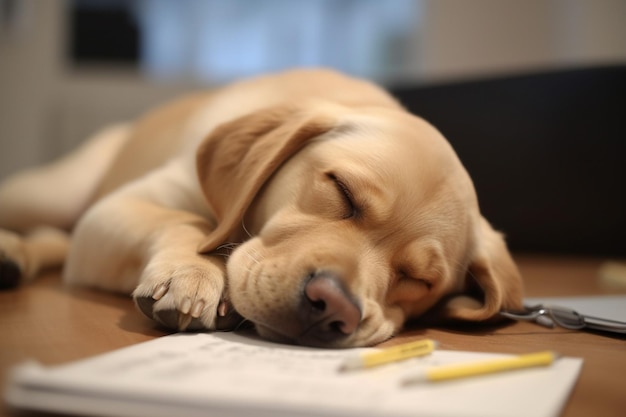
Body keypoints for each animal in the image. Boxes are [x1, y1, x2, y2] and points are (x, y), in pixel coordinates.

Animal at [0, 69, 520, 348]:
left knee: (52, 239)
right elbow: (188, 220)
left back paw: (14, 257)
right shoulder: (119, 205)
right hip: (53, 190)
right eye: (342, 191)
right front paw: (192, 274)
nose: (333, 306)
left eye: (420, 280)